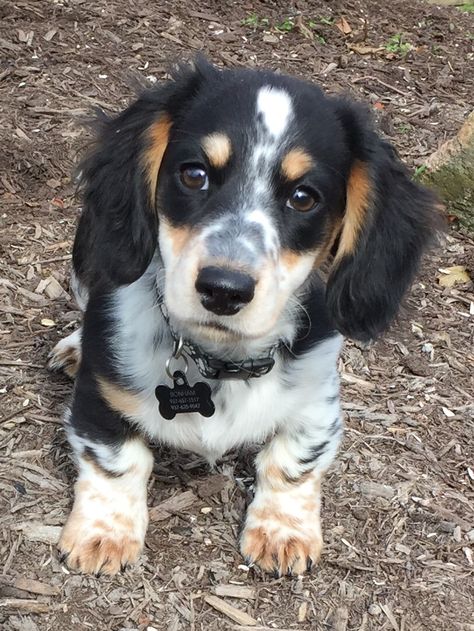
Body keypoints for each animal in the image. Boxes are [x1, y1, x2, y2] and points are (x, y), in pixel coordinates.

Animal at [50, 58, 438, 576]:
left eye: (303, 197)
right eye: (194, 174)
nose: (223, 289)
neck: (220, 361)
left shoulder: (318, 397)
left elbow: (293, 460)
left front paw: (282, 531)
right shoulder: (100, 393)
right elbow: (118, 460)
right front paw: (103, 533)